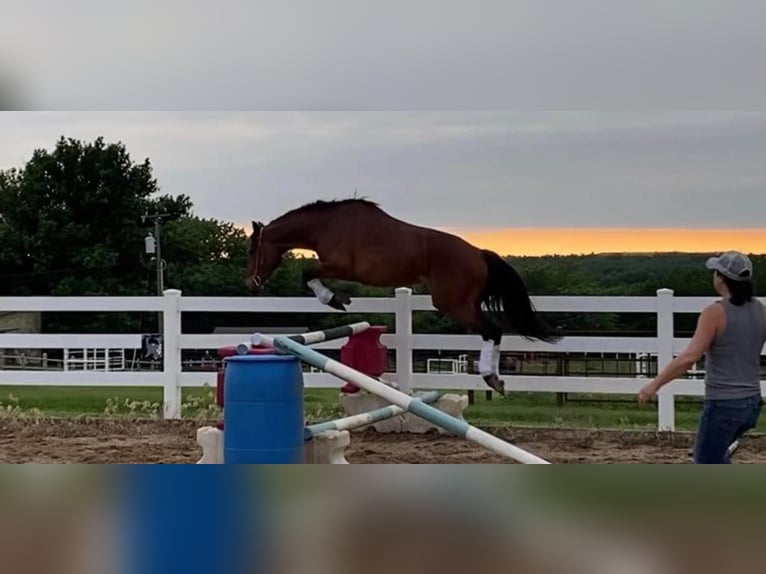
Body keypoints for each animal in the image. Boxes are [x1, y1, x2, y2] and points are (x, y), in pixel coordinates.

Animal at [248, 199, 564, 396]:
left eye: (253, 250)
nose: (250, 284)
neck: (327, 226)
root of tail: (479, 254)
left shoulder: (341, 266)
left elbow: (306, 272)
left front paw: (334, 299)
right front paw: (338, 299)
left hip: (451, 303)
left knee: (492, 331)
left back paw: (492, 378)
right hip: (466, 303)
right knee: (491, 331)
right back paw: (495, 378)